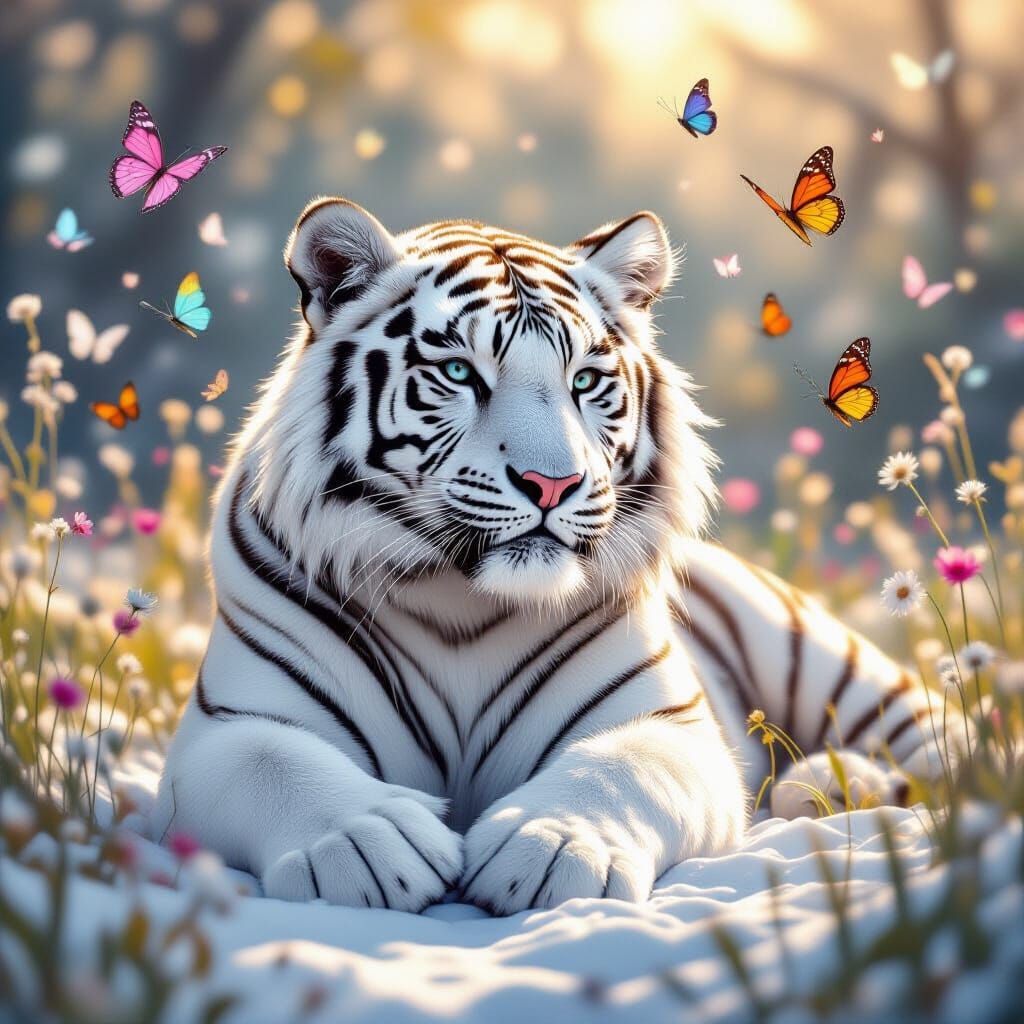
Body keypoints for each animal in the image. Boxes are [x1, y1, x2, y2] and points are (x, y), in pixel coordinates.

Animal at [154, 197, 961, 915]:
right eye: (459, 375)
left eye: (585, 381)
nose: (553, 483)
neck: (459, 601)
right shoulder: (229, 727)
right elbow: (275, 765)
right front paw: (365, 843)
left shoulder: (672, 724)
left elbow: (618, 769)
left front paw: (553, 846)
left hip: (825, 660)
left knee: (941, 732)